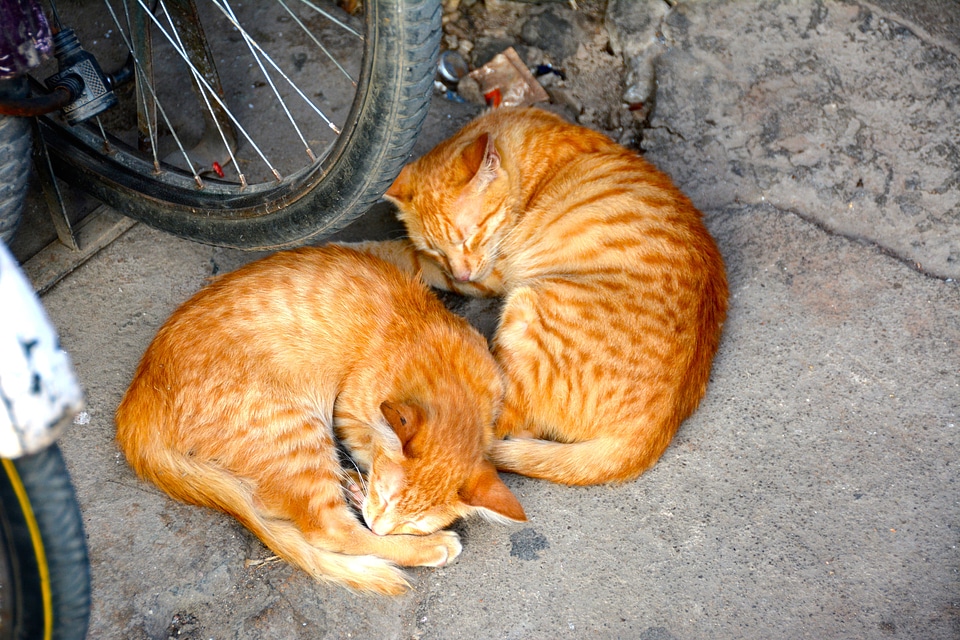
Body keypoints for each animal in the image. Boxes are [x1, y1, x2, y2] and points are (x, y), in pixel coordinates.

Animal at [118, 245, 532, 596]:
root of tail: (139, 401)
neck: (449, 373)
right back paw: (428, 546)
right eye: (385, 497)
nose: (379, 525)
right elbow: (365, 449)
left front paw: (361, 488)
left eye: (414, 523)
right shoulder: (348, 409)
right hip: (297, 430)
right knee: (328, 529)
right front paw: (366, 486)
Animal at [348, 106, 732, 484]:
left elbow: (402, 253)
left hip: (525, 310)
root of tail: (652, 433)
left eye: (469, 237)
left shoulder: (489, 272)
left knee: (490, 430)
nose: (461, 272)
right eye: (437, 248)